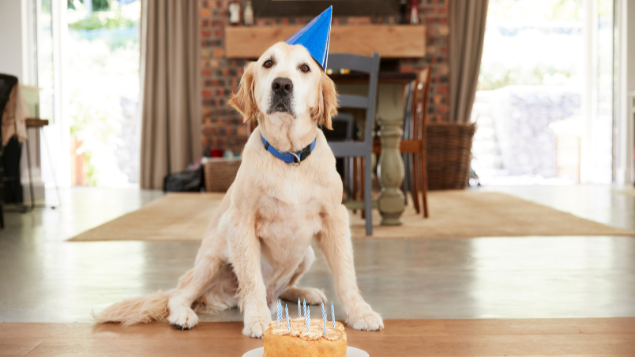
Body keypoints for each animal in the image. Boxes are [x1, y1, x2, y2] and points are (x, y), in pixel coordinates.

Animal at [94, 41, 382, 336]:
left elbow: (346, 275)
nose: (282, 85)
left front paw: (360, 313)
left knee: (282, 290)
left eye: (305, 68)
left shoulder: (334, 217)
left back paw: (305, 293)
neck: (289, 158)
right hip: (214, 257)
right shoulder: (241, 221)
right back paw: (184, 315)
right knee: (180, 296)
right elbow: (251, 278)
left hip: (306, 255)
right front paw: (257, 319)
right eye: (268, 63)